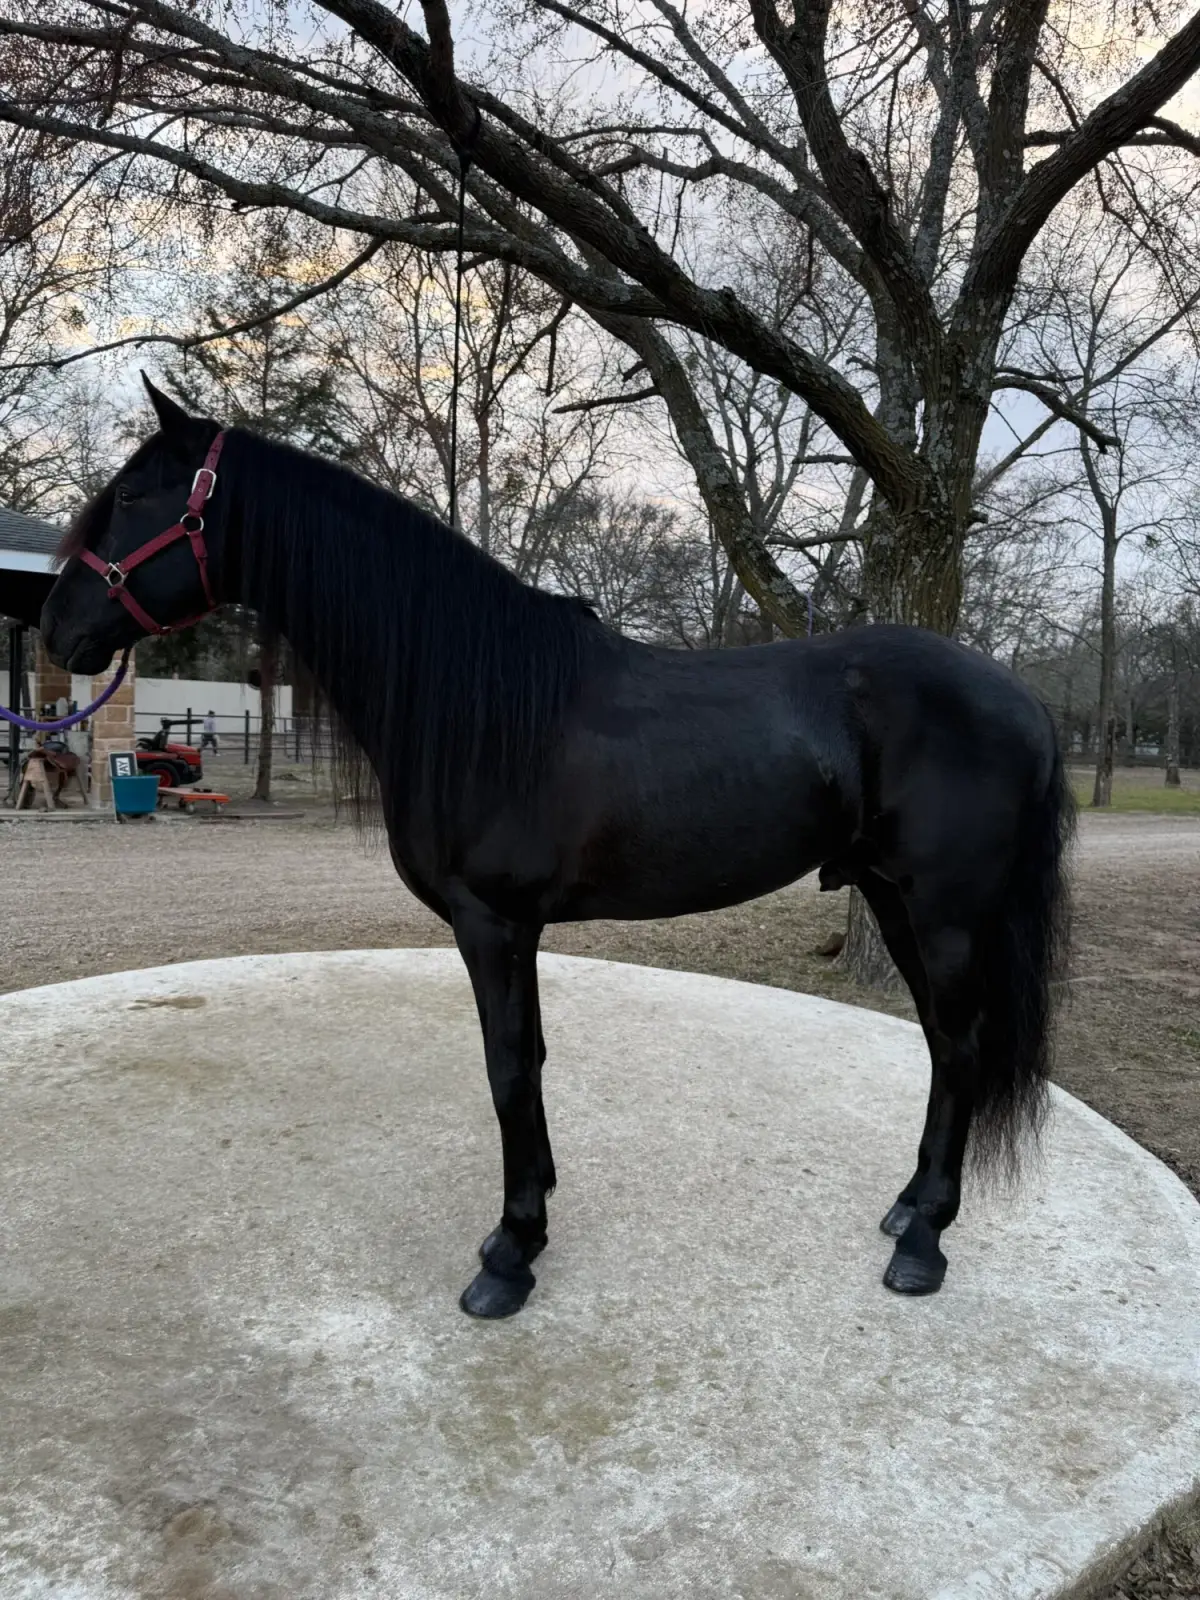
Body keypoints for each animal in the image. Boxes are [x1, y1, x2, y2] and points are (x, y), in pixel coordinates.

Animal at [40, 377, 1074, 1320]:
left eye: (134, 497)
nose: (55, 627)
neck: (477, 701)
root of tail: (1022, 698)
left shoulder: (492, 922)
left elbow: (507, 1069)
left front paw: (510, 1254)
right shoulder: (516, 928)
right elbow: (528, 1060)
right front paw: (529, 1223)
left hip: (945, 911)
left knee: (963, 1045)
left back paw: (925, 1245)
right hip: (896, 900)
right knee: (942, 1043)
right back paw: (908, 1210)